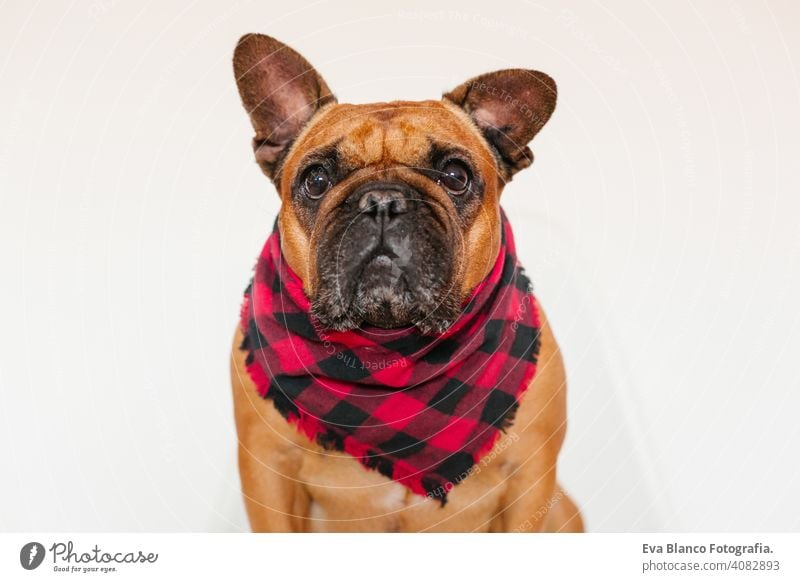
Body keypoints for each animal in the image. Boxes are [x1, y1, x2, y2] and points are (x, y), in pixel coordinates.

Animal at [228, 32, 584, 532]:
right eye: (316, 180)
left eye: (456, 175)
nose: (381, 200)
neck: (392, 350)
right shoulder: (269, 471)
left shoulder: (528, 477)